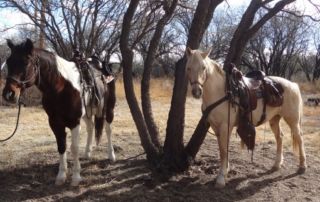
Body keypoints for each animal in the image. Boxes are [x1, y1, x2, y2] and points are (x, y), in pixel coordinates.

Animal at [2, 39, 116, 186]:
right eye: (9, 62)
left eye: (26, 62)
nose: (8, 94)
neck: (61, 87)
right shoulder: (55, 122)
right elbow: (61, 146)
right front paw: (61, 176)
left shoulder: (74, 122)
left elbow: (74, 148)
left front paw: (76, 177)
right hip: (87, 112)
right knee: (91, 128)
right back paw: (87, 153)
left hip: (108, 109)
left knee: (108, 130)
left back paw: (111, 155)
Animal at [186, 48, 306, 189]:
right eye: (188, 68)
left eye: (203, 67)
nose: (197, 92)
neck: (222, 92)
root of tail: (293, 85)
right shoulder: (216, 127)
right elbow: (222, 149)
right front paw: (225, 170)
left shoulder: (225, 126)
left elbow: (223, 150)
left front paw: (221, 178)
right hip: (274, 119)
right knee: (280, 137)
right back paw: (276, 165)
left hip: (292, 120)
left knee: (299, 138)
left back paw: (302, 166)